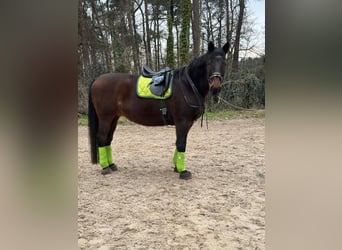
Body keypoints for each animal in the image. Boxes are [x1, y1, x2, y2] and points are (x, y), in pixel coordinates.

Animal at [87, 41, 230, 179]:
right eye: (209, 62)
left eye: (224, 62)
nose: (216, 87)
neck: (187, 85)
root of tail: (97, 79)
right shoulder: (182, 122)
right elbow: (181, 143)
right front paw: (183, 171)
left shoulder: (187, 123)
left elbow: (179, 143)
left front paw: (177, 167)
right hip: (105, 117)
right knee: (101, 138)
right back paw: (105, 167)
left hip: (114, 118)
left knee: (108, 139)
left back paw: (111, 165)